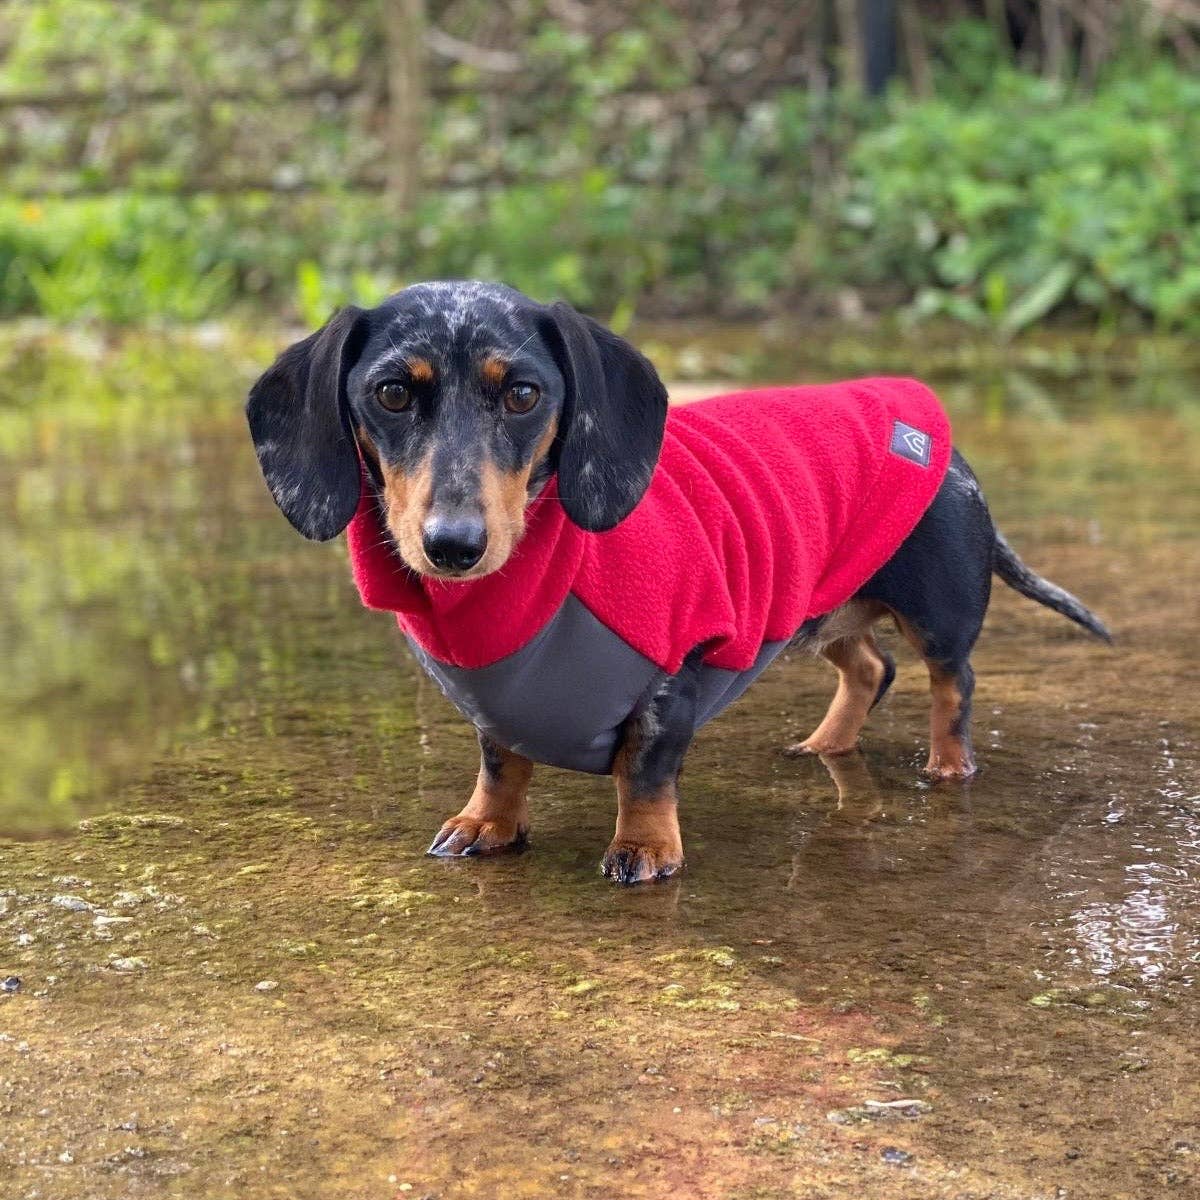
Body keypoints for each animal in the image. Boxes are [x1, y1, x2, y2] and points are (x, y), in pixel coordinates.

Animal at [246, 280, 1113, 883]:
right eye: (392, 392)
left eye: (523, 393)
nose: (452, 546)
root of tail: (951, 450)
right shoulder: (498, 703)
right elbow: (501, 763)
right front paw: (484, 823)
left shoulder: (678, 670)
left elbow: (646, 769)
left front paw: (645, 847)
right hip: (809, 607)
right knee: (871, 666)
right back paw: (825, 743)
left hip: (937, 608)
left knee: (950, 682)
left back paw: (948, 764)